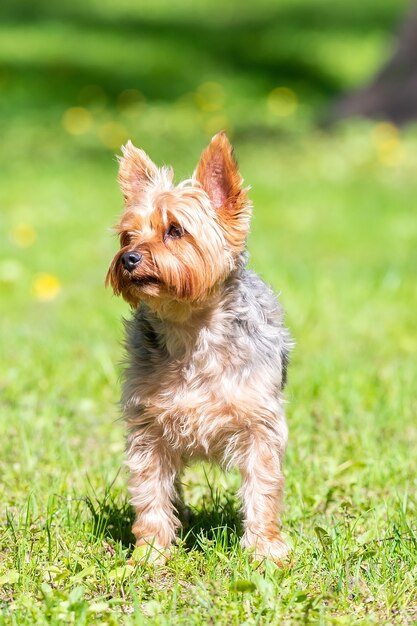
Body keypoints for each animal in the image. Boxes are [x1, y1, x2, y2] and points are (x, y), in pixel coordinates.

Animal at [105, 132, 290, 560]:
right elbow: (150, 491)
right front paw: (151, 553)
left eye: (175, 230)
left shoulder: (259, 423)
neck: (190, 330)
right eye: (127, 235)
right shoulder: (148, 427)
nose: (128, 258)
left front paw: (265, 551)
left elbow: (263, 487)